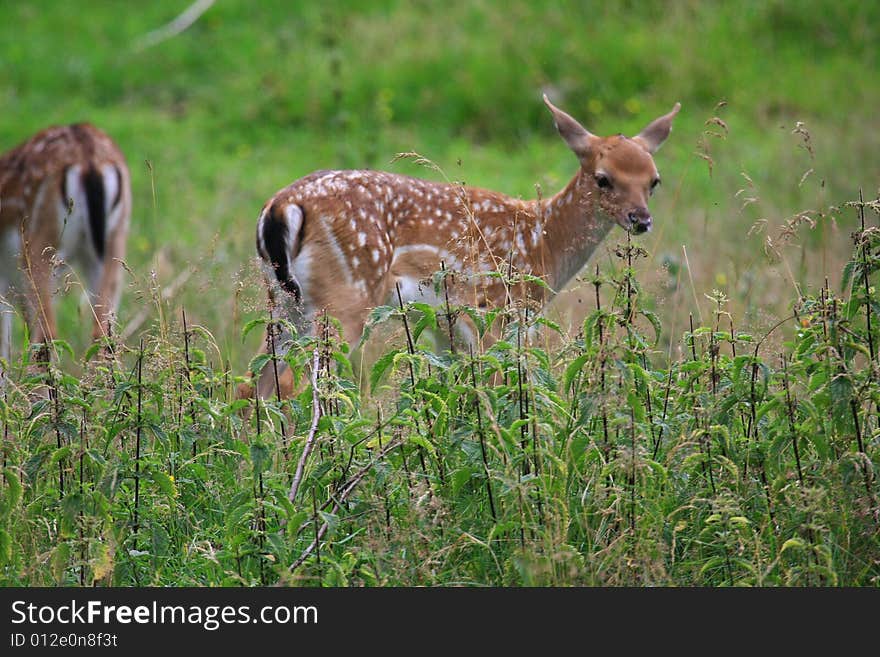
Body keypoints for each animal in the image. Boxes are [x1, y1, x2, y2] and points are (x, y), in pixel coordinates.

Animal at [248, 95, 680, 398]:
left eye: (654, 180)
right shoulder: (495, 312)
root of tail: (281, 207)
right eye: (603, 178)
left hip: (284, 302)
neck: (542, 242)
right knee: (303, 388)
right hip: (346, 296)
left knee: (256, 384)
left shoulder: (445, 326)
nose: (641, 220)